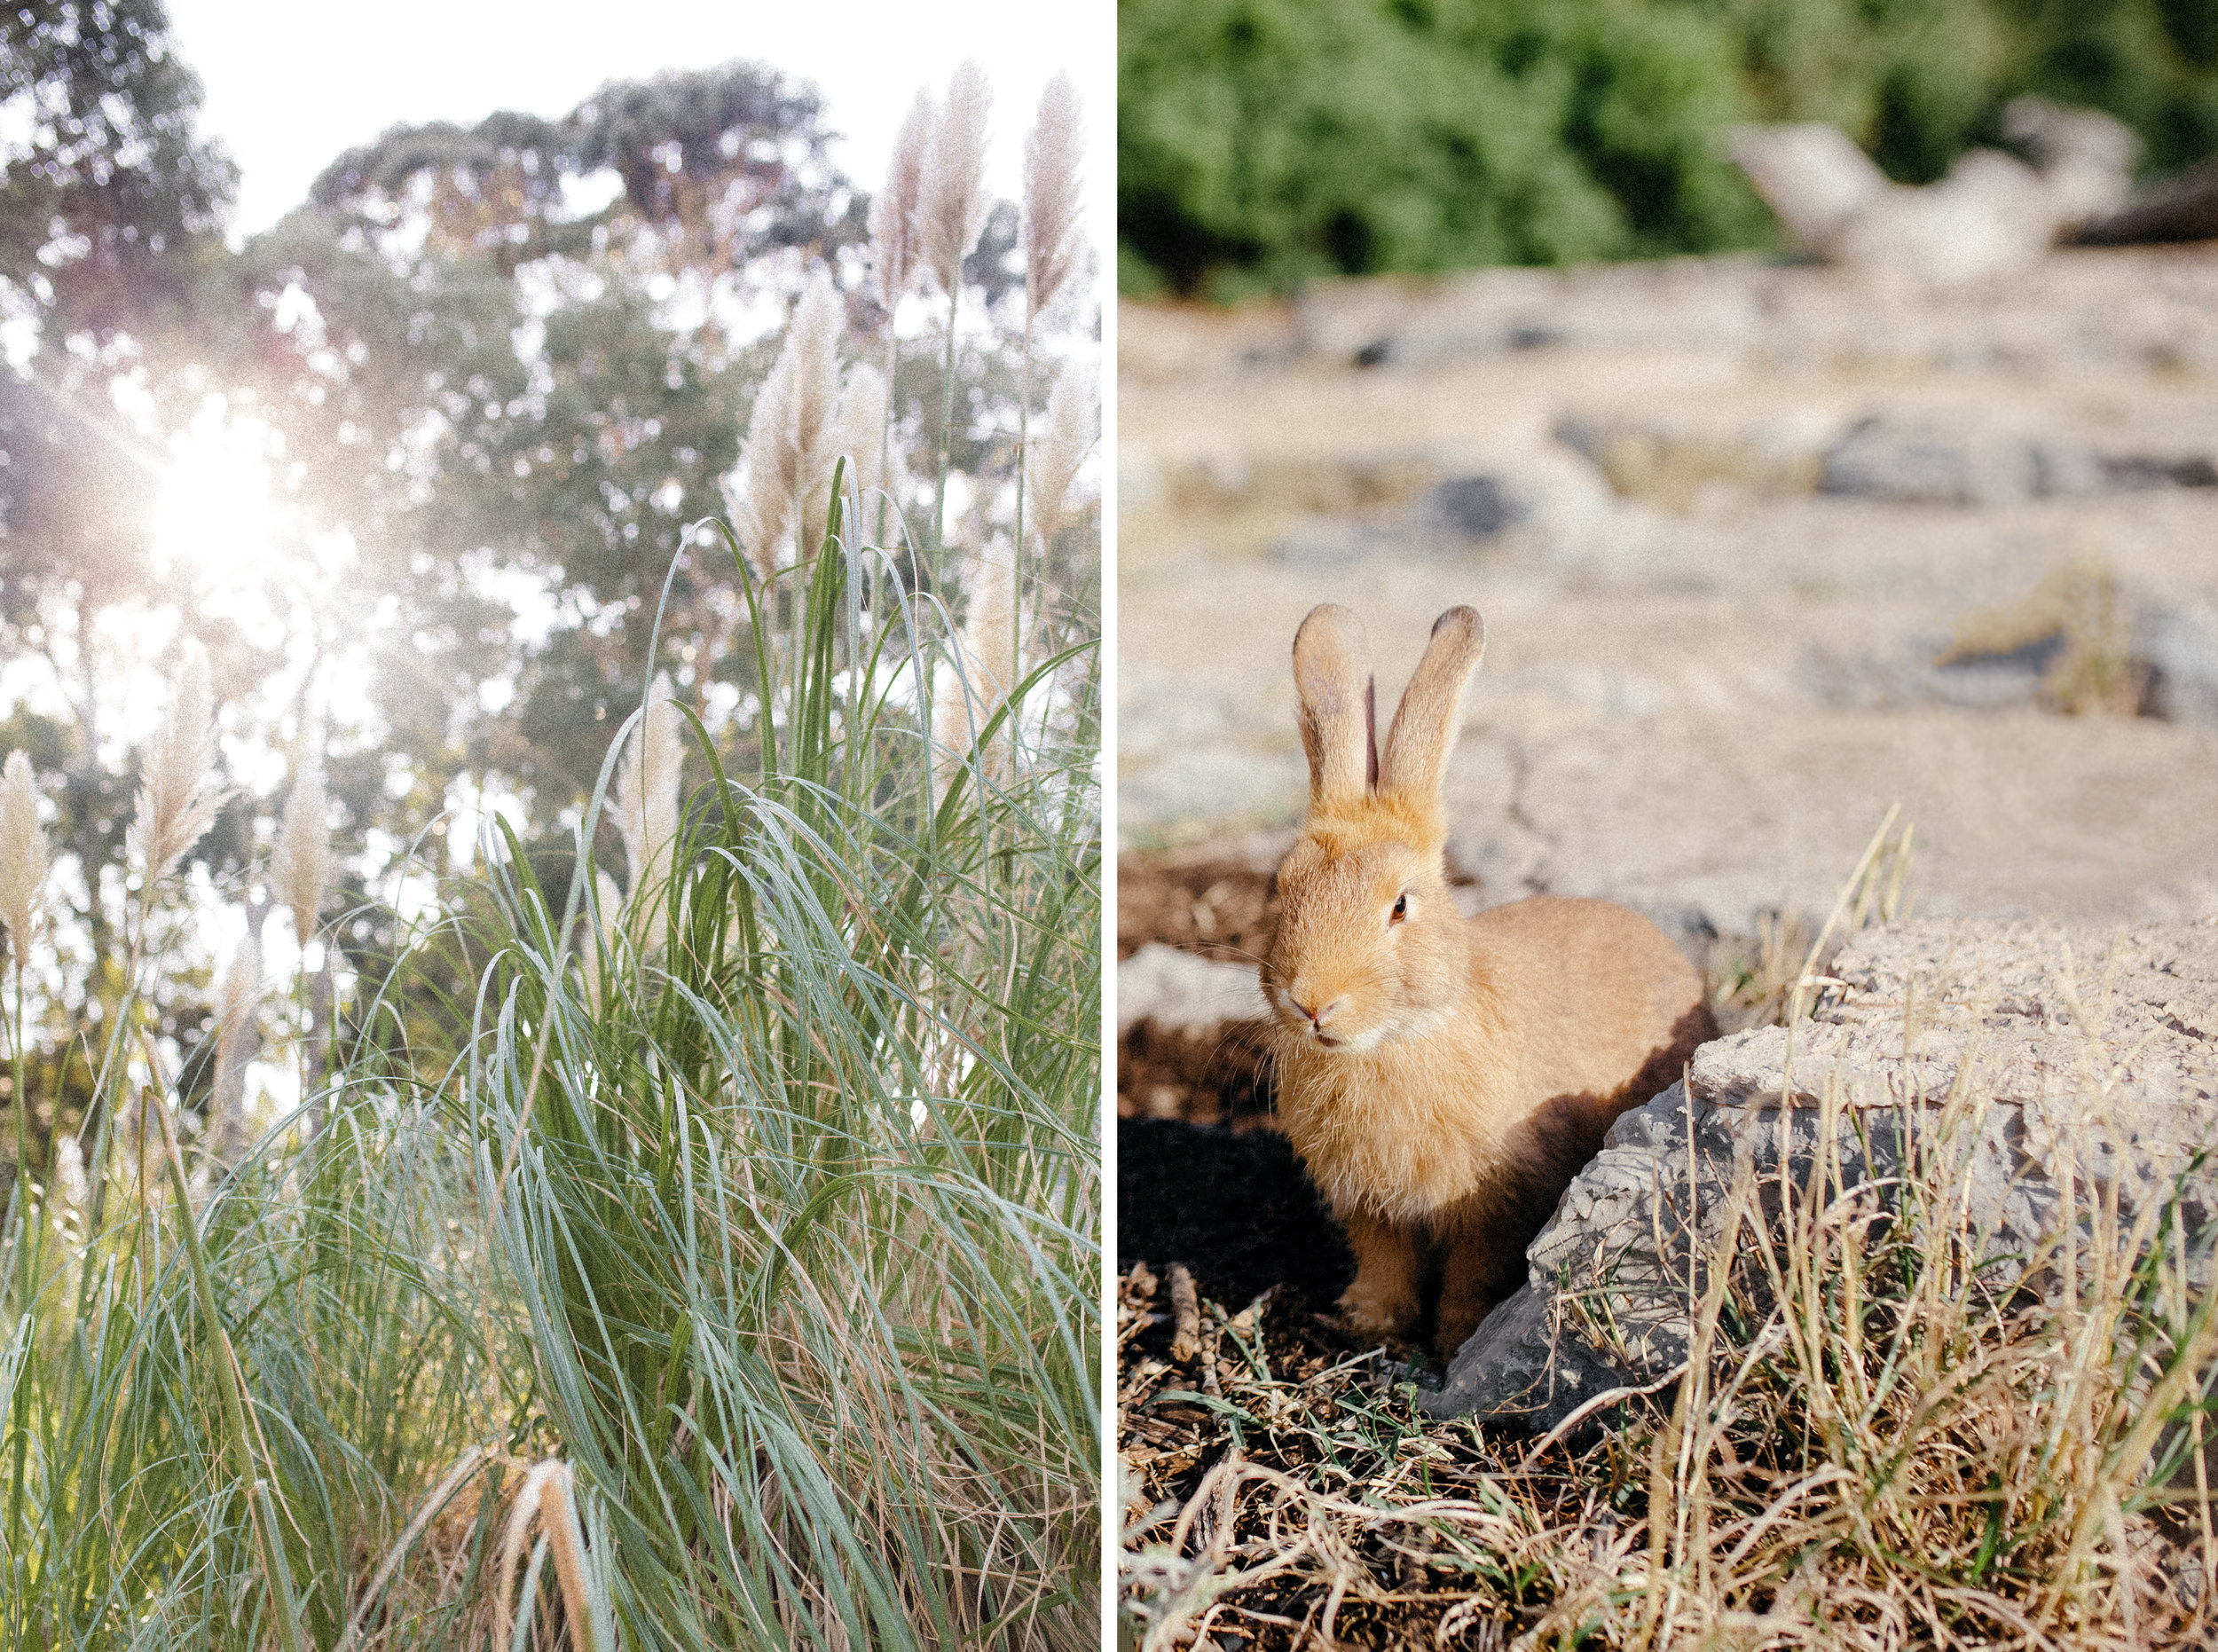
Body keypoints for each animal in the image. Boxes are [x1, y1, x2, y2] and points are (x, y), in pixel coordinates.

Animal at [1269, 607, 1712, 1357]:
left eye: (1400, 905)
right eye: (1281, 887)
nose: (1312, 1004)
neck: (1397, 1042)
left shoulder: (1496, 1197)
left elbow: (1475, 1267)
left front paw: (1457, 1338)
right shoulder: (1368, 1206)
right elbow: (1385, 1260)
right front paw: (1371, 1322)